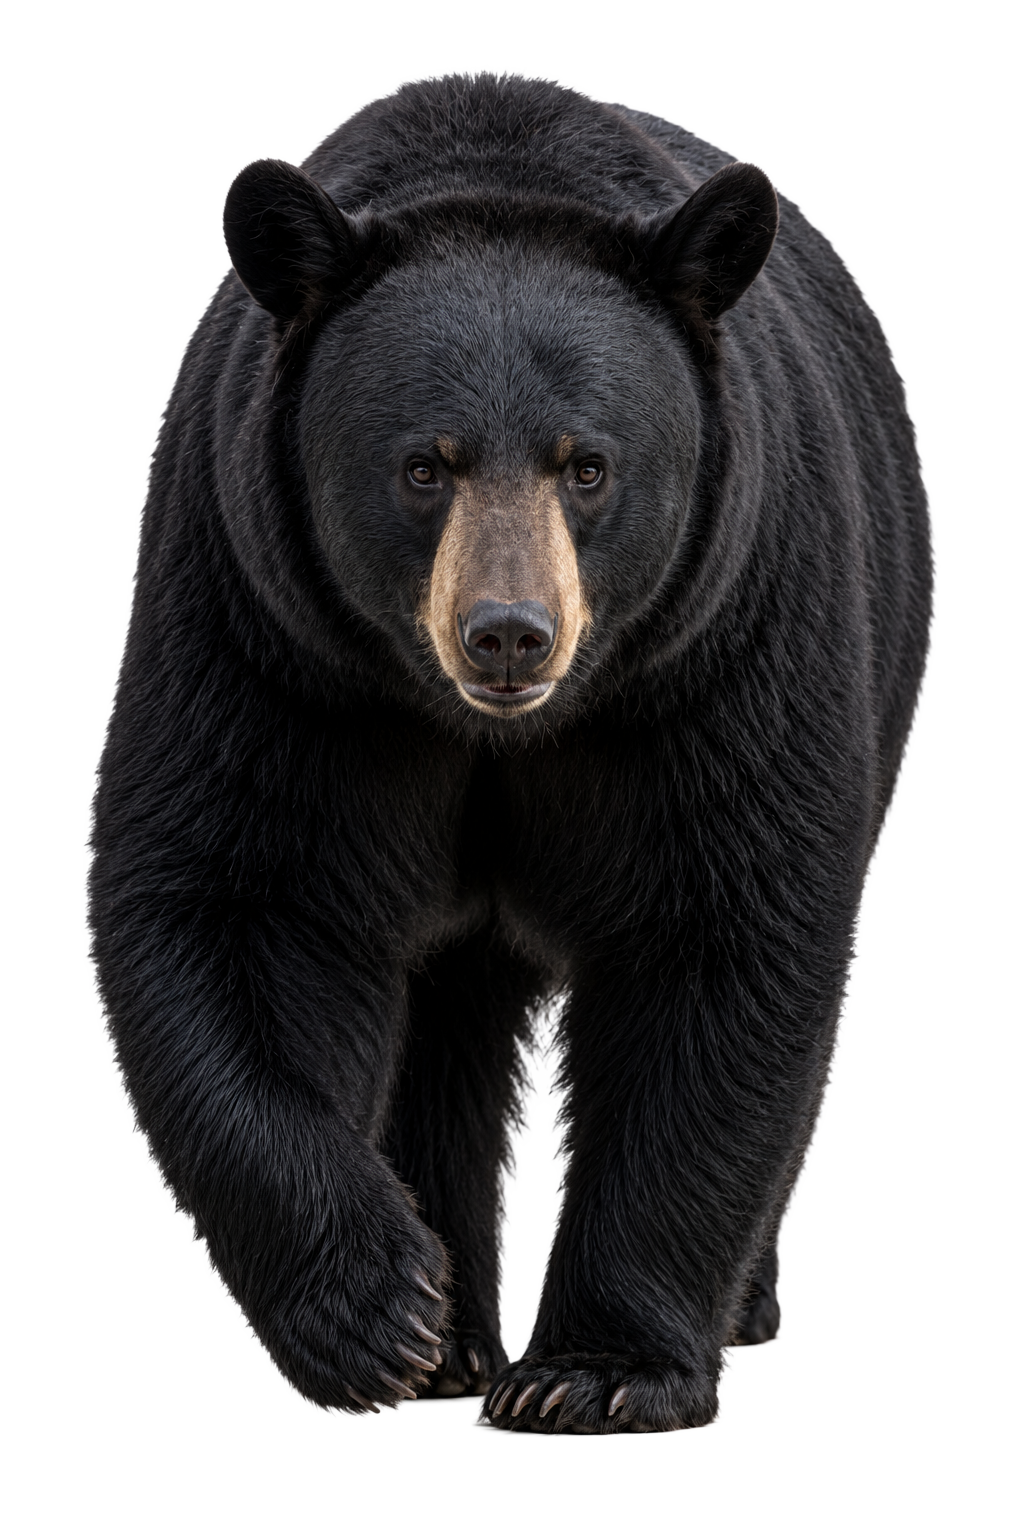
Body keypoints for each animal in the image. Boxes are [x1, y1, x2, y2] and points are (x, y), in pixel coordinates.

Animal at [88, 72, 933, 1433]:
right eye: (422, 465)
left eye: (587, 466)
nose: (506, 634)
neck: (500, 730)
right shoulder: (264, 626)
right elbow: (238, 897)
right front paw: (375, 1311)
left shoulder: (724, 637)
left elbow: (719, 929)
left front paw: (598, 1369)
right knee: (445, 1023)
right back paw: (450, 1340)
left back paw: (734, 1303)